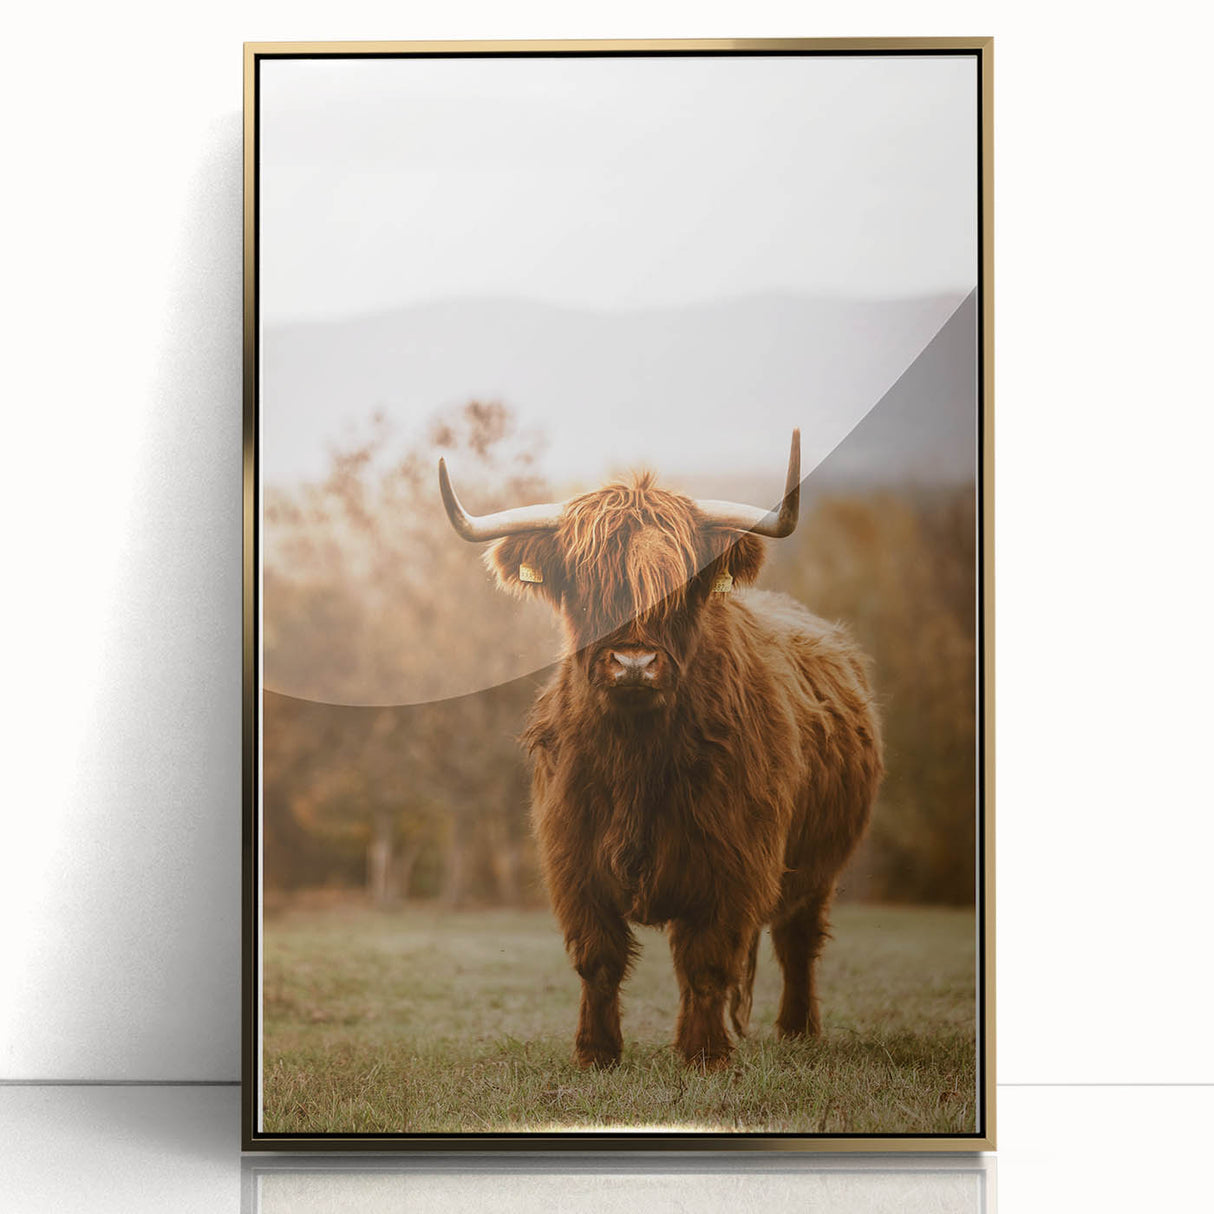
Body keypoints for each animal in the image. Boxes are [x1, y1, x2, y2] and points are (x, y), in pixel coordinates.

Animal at [437, 431, 882, 1071]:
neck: (636, 756)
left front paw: (704, 1055)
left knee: (796, 938)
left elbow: (708, 959)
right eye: (585, 585)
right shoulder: (574, 858)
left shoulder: (733, 860)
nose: (633, 663)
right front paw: (596, 1053)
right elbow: (598, 959)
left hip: (818, 862)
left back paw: (799, 1032)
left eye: (683, 586)